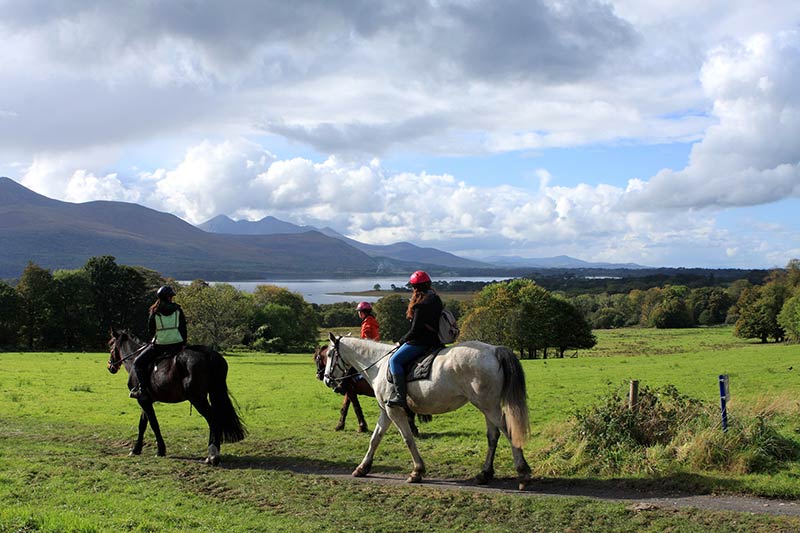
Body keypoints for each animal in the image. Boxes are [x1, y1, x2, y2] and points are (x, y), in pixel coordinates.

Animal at [106, 328, 245, 466]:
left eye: (110, 344)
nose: (110, 366)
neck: (134, 358)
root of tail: (209, 355)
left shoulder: (143, 401)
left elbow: (153, 424)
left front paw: (160, 450)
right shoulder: (146, 401)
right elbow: (143, 425)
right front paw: (137, 449)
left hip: (198, 399)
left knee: (213, 420)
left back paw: (212, 455)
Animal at [324, 334, 532, 488]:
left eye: (329, 355)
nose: (326, 379)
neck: (378, 364)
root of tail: (494, 350)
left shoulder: (395, 411)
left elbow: (408, 439)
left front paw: (417, 471)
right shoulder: (386, 411)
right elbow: (375, 439)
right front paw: (363, 468)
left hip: (489, 406)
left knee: (508, 432)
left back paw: (522, 474)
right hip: (488, 407)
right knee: (493, 436)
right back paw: (485, 474)